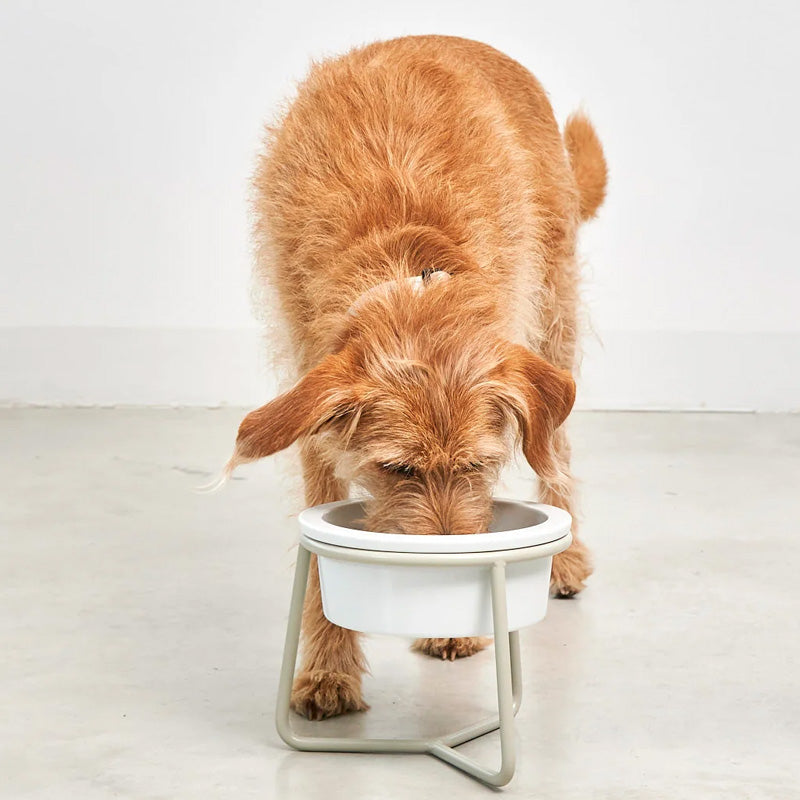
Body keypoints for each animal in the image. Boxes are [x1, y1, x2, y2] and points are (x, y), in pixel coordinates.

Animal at [225, 34, 608, 720]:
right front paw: (328, 669)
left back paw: (565, 560)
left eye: (478, 465)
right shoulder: (314, 405)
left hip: (553, 311)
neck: (409, 274)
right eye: (397, 469)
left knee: (556, 447)